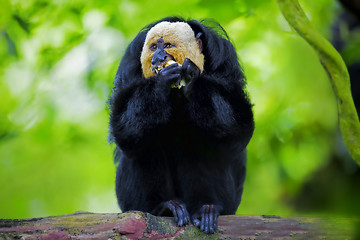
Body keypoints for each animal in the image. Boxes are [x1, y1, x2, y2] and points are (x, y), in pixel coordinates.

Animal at [108, 17, 255, 234]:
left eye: (168, 46)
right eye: (154, 47)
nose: (158, 58)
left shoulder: (225, 62)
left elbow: (239, 129)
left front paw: (191, 75)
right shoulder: (130, 64)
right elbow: (125, 130)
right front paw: (161, 81)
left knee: (193, 137)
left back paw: (206, 208)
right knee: (146, 140)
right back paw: (164, 207)